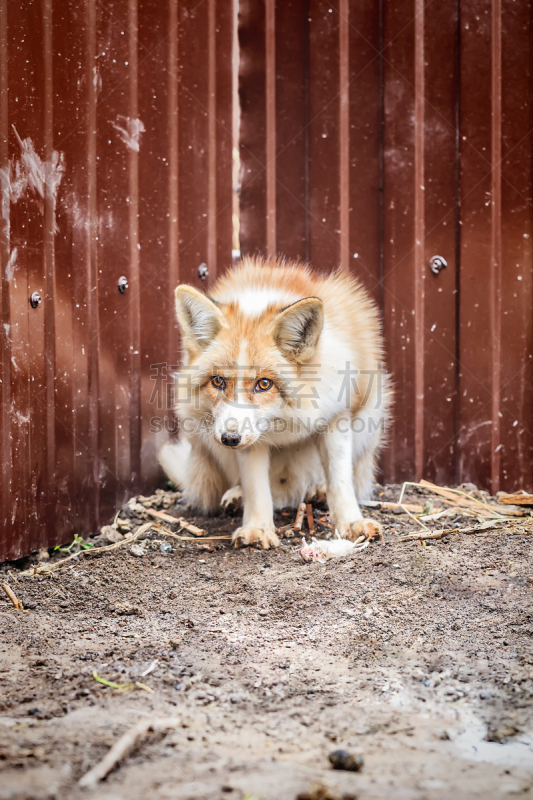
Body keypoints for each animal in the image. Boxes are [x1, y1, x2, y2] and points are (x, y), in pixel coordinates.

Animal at [159, 256, 390, 552]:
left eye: (264, 384)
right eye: (218, 381)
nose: (229, 438)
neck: (287, 418)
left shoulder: (337, 415)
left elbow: (341, 481)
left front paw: (351, 524)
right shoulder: (251, 440)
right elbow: (256, 487)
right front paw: (257, 528)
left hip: (371, 415)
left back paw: (316, 491)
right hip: (200, 428)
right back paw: (238, 497)